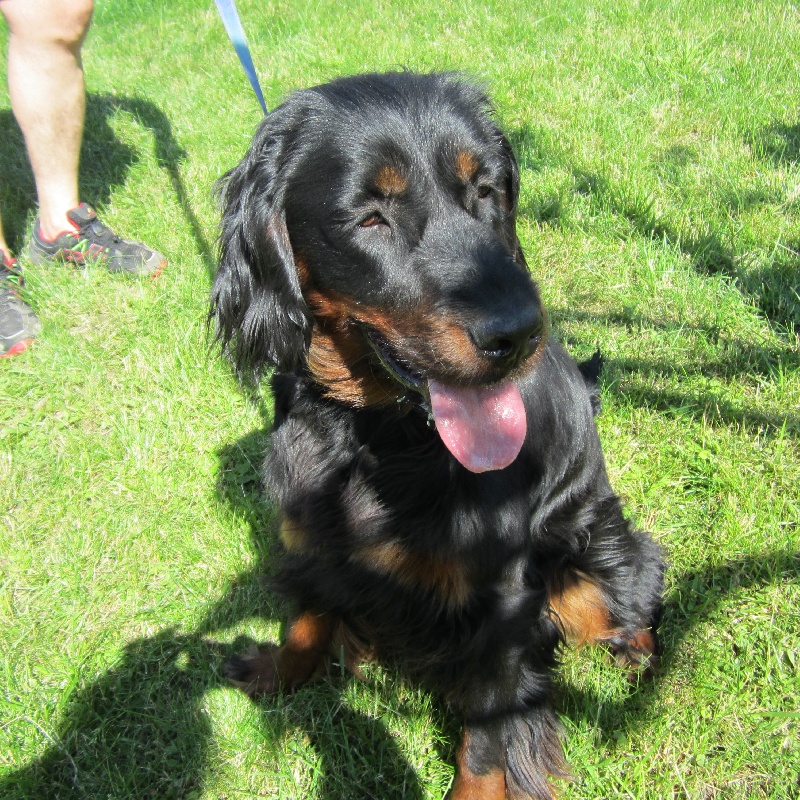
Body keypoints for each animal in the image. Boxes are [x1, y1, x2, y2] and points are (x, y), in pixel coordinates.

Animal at [211, 71, 664, 800]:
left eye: (486, 190)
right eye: (370, 217)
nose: (520, 333)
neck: (375, 435)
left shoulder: (500, 601)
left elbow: (487, 736)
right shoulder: (311, 537)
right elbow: (307, 616)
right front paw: (277, 675)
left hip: (589, 553)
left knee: (634, 588)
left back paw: (641, 662)